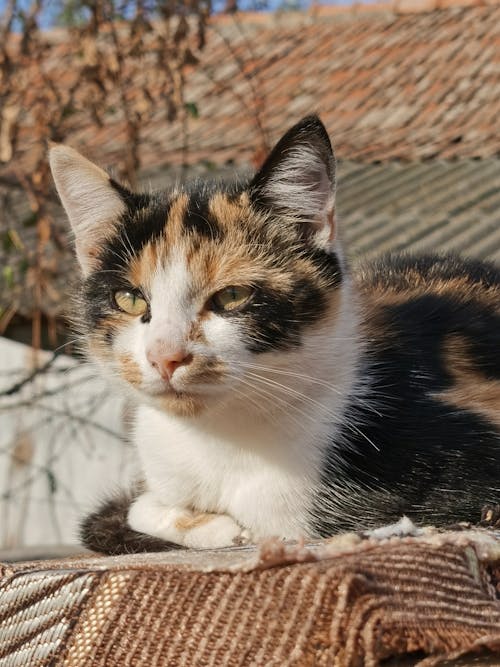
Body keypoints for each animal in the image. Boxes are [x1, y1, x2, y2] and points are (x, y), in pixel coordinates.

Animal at [49, 117, 500, 556]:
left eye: (231, 296)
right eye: (129, 299)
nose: (165, 356)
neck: (217, 440)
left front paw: (231, 529)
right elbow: (134, 509)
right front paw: (218, 527)